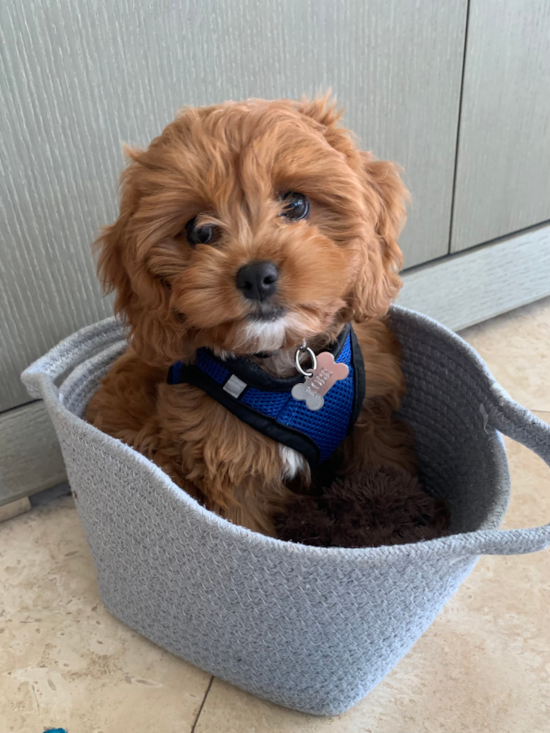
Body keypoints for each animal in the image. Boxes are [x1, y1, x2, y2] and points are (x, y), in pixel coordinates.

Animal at [87, 96, 418, 532]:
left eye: (296, 204)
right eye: (199, 231)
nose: (256, 276)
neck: (285, 364)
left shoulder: (374, 420)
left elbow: (386, 469)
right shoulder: (230, 467)